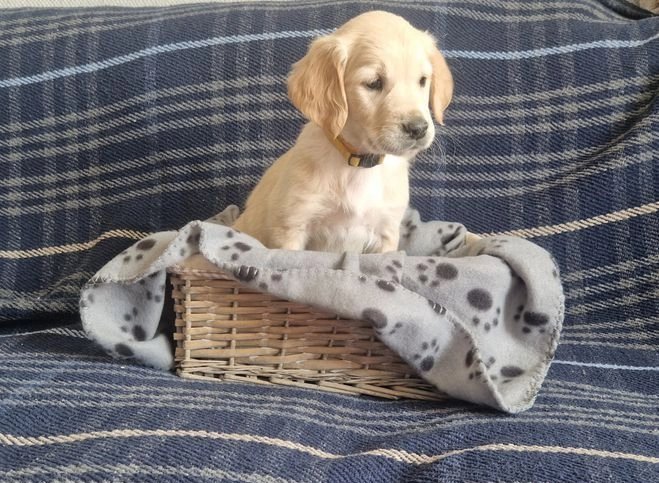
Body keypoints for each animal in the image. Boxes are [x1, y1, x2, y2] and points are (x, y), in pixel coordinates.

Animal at [232, 11, 453, 253]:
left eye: (422, 80)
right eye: (374, 83)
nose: (418, 128)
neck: (358, 163)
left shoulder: (386, 233)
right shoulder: (292, 226)